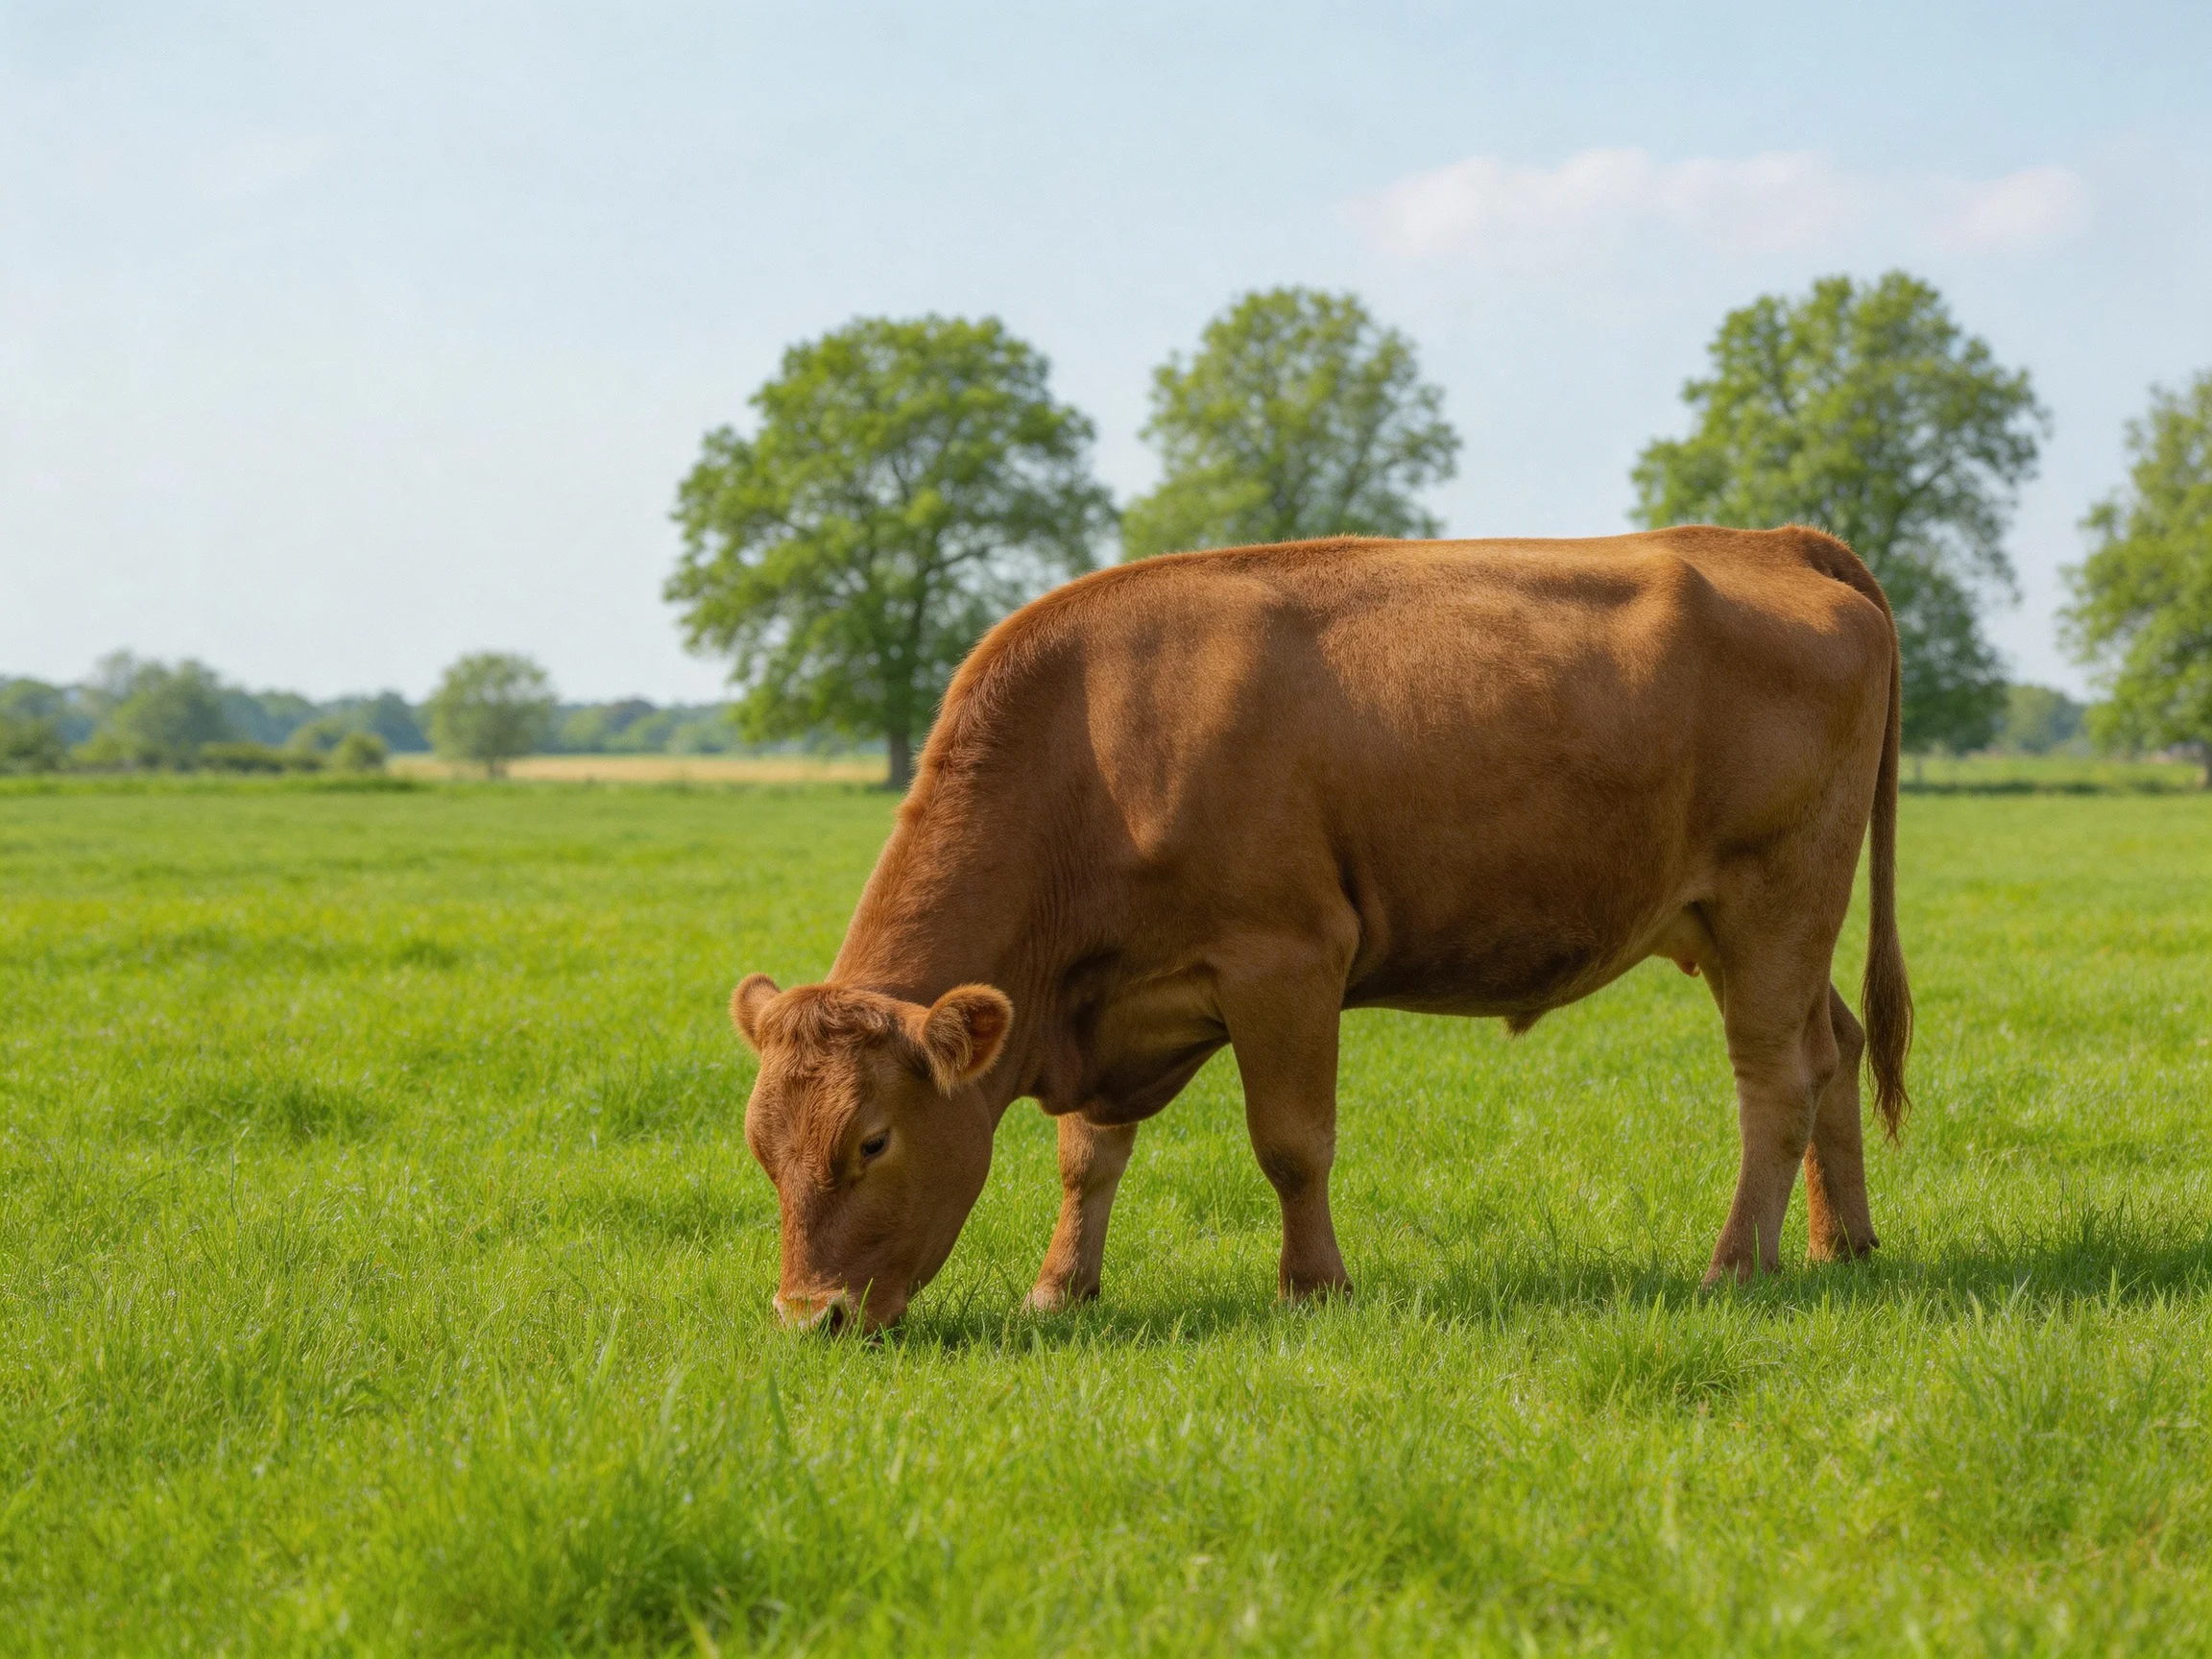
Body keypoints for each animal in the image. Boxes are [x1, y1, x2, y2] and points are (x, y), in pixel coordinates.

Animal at [732, 525, 1911, 1331]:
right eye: (759, 1144)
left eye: (872, 1140)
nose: (807, 1317)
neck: (1096, 753)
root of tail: (1769, 540)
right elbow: (1087, 1157)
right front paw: (1060, 1288)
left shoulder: (1287, 961)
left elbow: (1292, 1145)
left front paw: (1314, 1288)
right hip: (1742, 926)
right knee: (1836, 1046)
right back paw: (1841, 1244)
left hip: (1777, 900)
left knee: (1775, 1082)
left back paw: (1733, 1266)